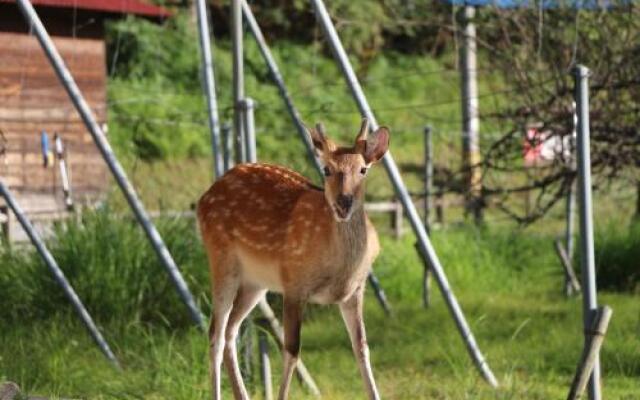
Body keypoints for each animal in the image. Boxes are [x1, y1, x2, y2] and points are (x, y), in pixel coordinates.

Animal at [198, 119, 388, 400]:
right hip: (221, 258)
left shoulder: (355, 291)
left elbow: (362, 347)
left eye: (363, 169)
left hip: (256, 282)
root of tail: (203, 198)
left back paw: (242, 394)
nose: (344, 203)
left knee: (232, 329)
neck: (340, 270)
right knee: (216, 333)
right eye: (326, 169)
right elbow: (291, 351)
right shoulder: (294, 284)